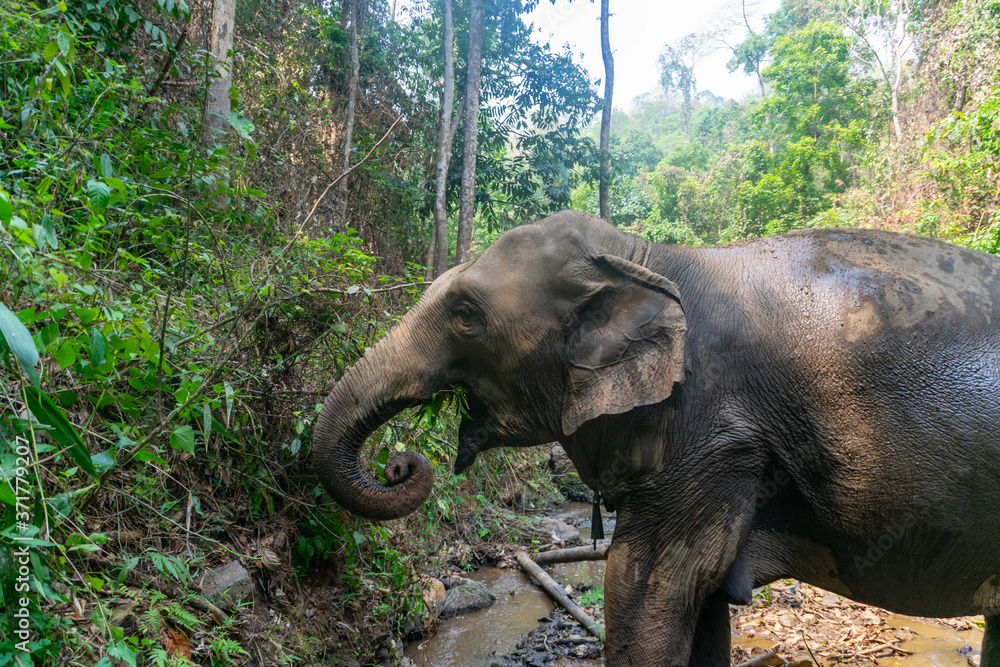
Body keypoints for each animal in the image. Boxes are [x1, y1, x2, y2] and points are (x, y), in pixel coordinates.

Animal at [311, 210, 1000, 666]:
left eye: (465, 314)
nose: (402, 465)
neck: (646, 256)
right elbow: (701, 605)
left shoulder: (714, 435)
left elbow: (643, 590)